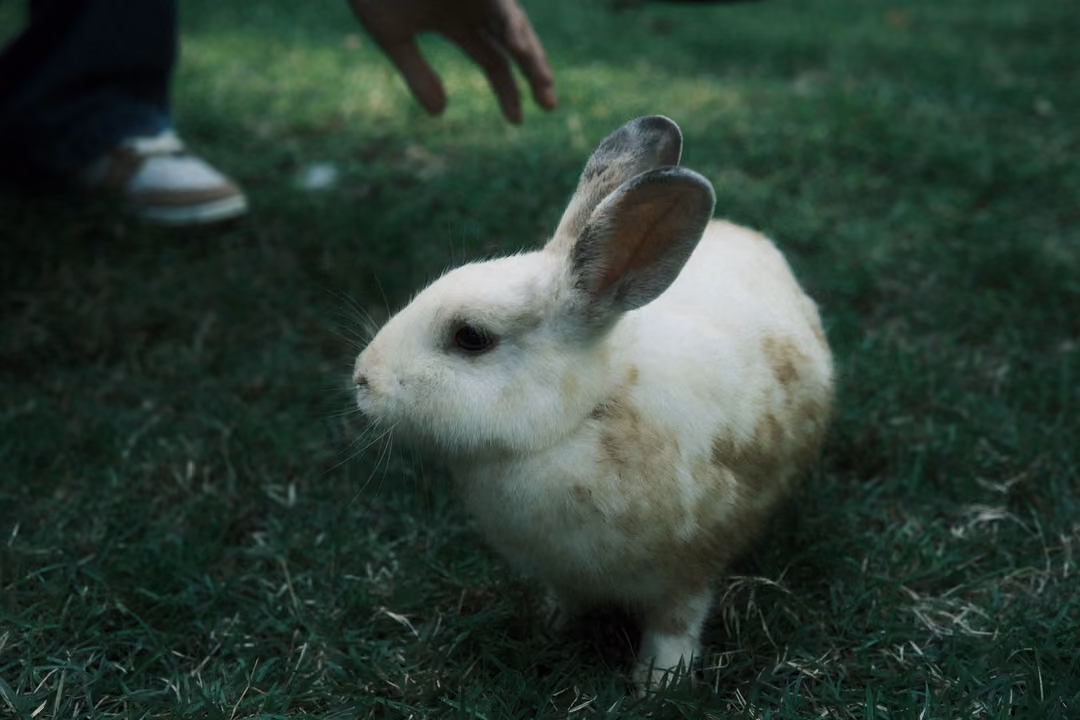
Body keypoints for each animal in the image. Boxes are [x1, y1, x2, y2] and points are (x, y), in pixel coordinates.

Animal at [352, 115, 834, 690]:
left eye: (471, 337)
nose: (362, 378)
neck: (585, 415)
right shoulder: (561, 572)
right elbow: (564, 601)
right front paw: (548, 628)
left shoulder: (687, 575)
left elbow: (675, 628)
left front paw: (656, 685)